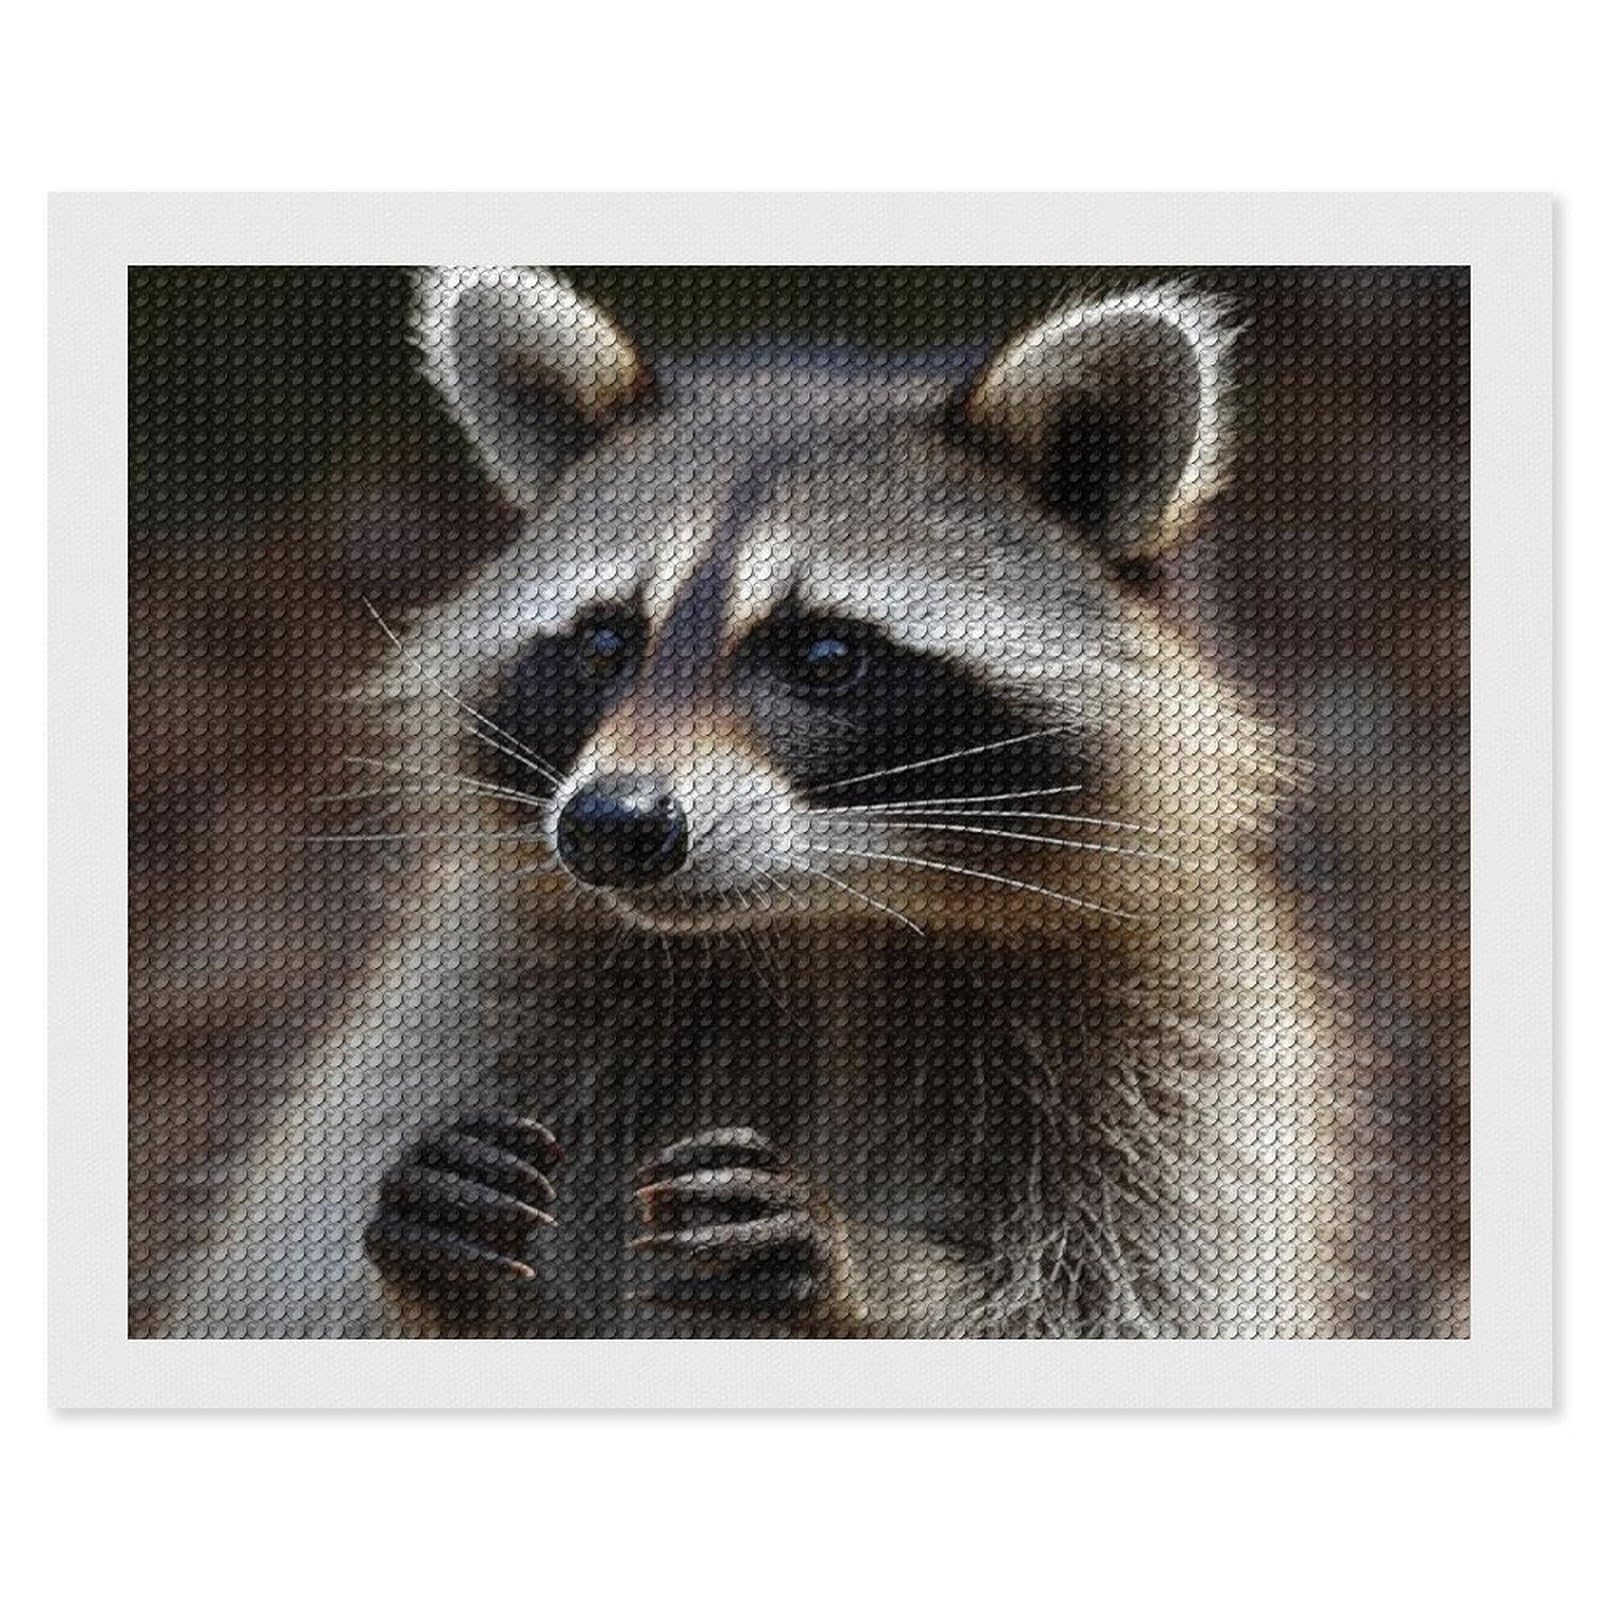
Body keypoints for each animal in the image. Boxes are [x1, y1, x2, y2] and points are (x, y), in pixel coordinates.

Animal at [170, 267, 1377, 1339]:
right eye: (607, 641)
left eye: (826, 655)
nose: (612, 827)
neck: (817, 929)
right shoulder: (473, 1006)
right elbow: (291, 1294)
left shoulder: (1184, 1046)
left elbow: (1131, 1297)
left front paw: (874, 1278)